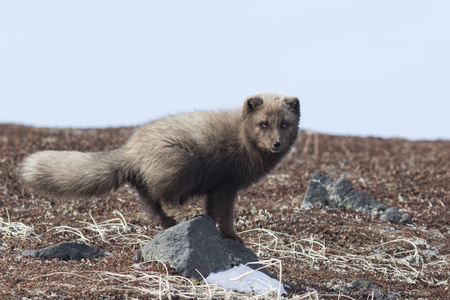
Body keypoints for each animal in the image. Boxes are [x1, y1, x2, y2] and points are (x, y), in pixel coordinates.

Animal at [22, 93, 302, 241]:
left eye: (285, 123)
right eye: (263, 123)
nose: (276, 143)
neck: (242, 140)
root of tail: (130, 150)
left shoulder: (223, 187)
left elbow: (216, 211)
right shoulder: (227, 183)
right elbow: (223, 213)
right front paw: (233, 236)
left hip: (148, 188)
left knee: (160, 212)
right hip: (182, 162)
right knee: (167, 201)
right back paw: (187, 213)